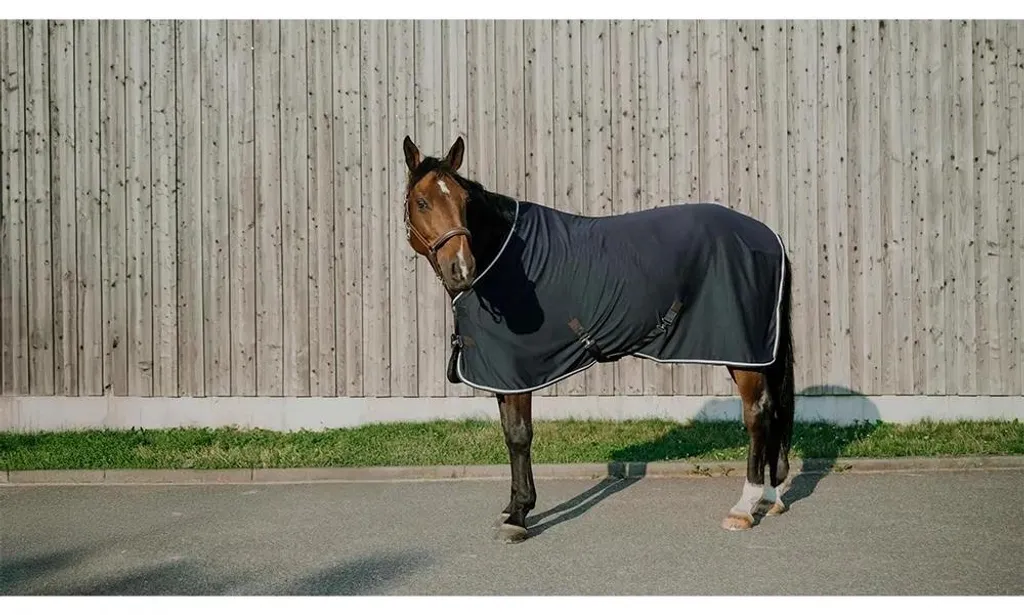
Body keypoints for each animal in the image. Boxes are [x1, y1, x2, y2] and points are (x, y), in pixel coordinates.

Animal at [402, 135, 795, 543]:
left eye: (464, 202)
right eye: (422, 201)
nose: (461, 268)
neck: (503, 257)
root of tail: (771, 238)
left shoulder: (517, 371)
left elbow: (519, 436)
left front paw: (520, 515)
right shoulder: (502, 375)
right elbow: (510, 434)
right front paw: (512, 509)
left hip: (744, 352)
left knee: (757, 413)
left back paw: (744, 507)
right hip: (760, 354)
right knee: (774, 411)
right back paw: (771, 497)